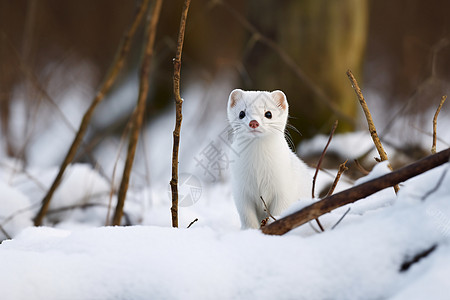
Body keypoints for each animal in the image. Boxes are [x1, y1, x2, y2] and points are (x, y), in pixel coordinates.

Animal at [227, 90, 312, 229]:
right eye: (241, 113)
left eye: (268, 113)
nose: (253, 122)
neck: (258, 167)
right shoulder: (240, 189)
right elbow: (246, 215)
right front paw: (250, 230)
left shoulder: (284, 186)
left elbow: (279, 210)